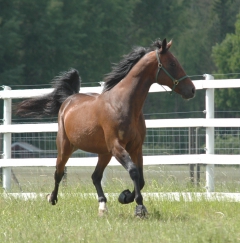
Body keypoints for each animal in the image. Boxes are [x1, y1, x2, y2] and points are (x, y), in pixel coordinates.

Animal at [16, 39, 195, 217]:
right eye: (172, 63)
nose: (191, 90)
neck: (123, 105)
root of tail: (69, 99)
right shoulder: (117, 146)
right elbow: (133, 171)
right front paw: (139, 207)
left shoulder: (136, 147)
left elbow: (141, 178)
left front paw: (125, 197)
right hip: (66, 147)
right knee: (58, 173)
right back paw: (52, 198)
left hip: (104, 153)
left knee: (95, 176)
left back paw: (102, 206)